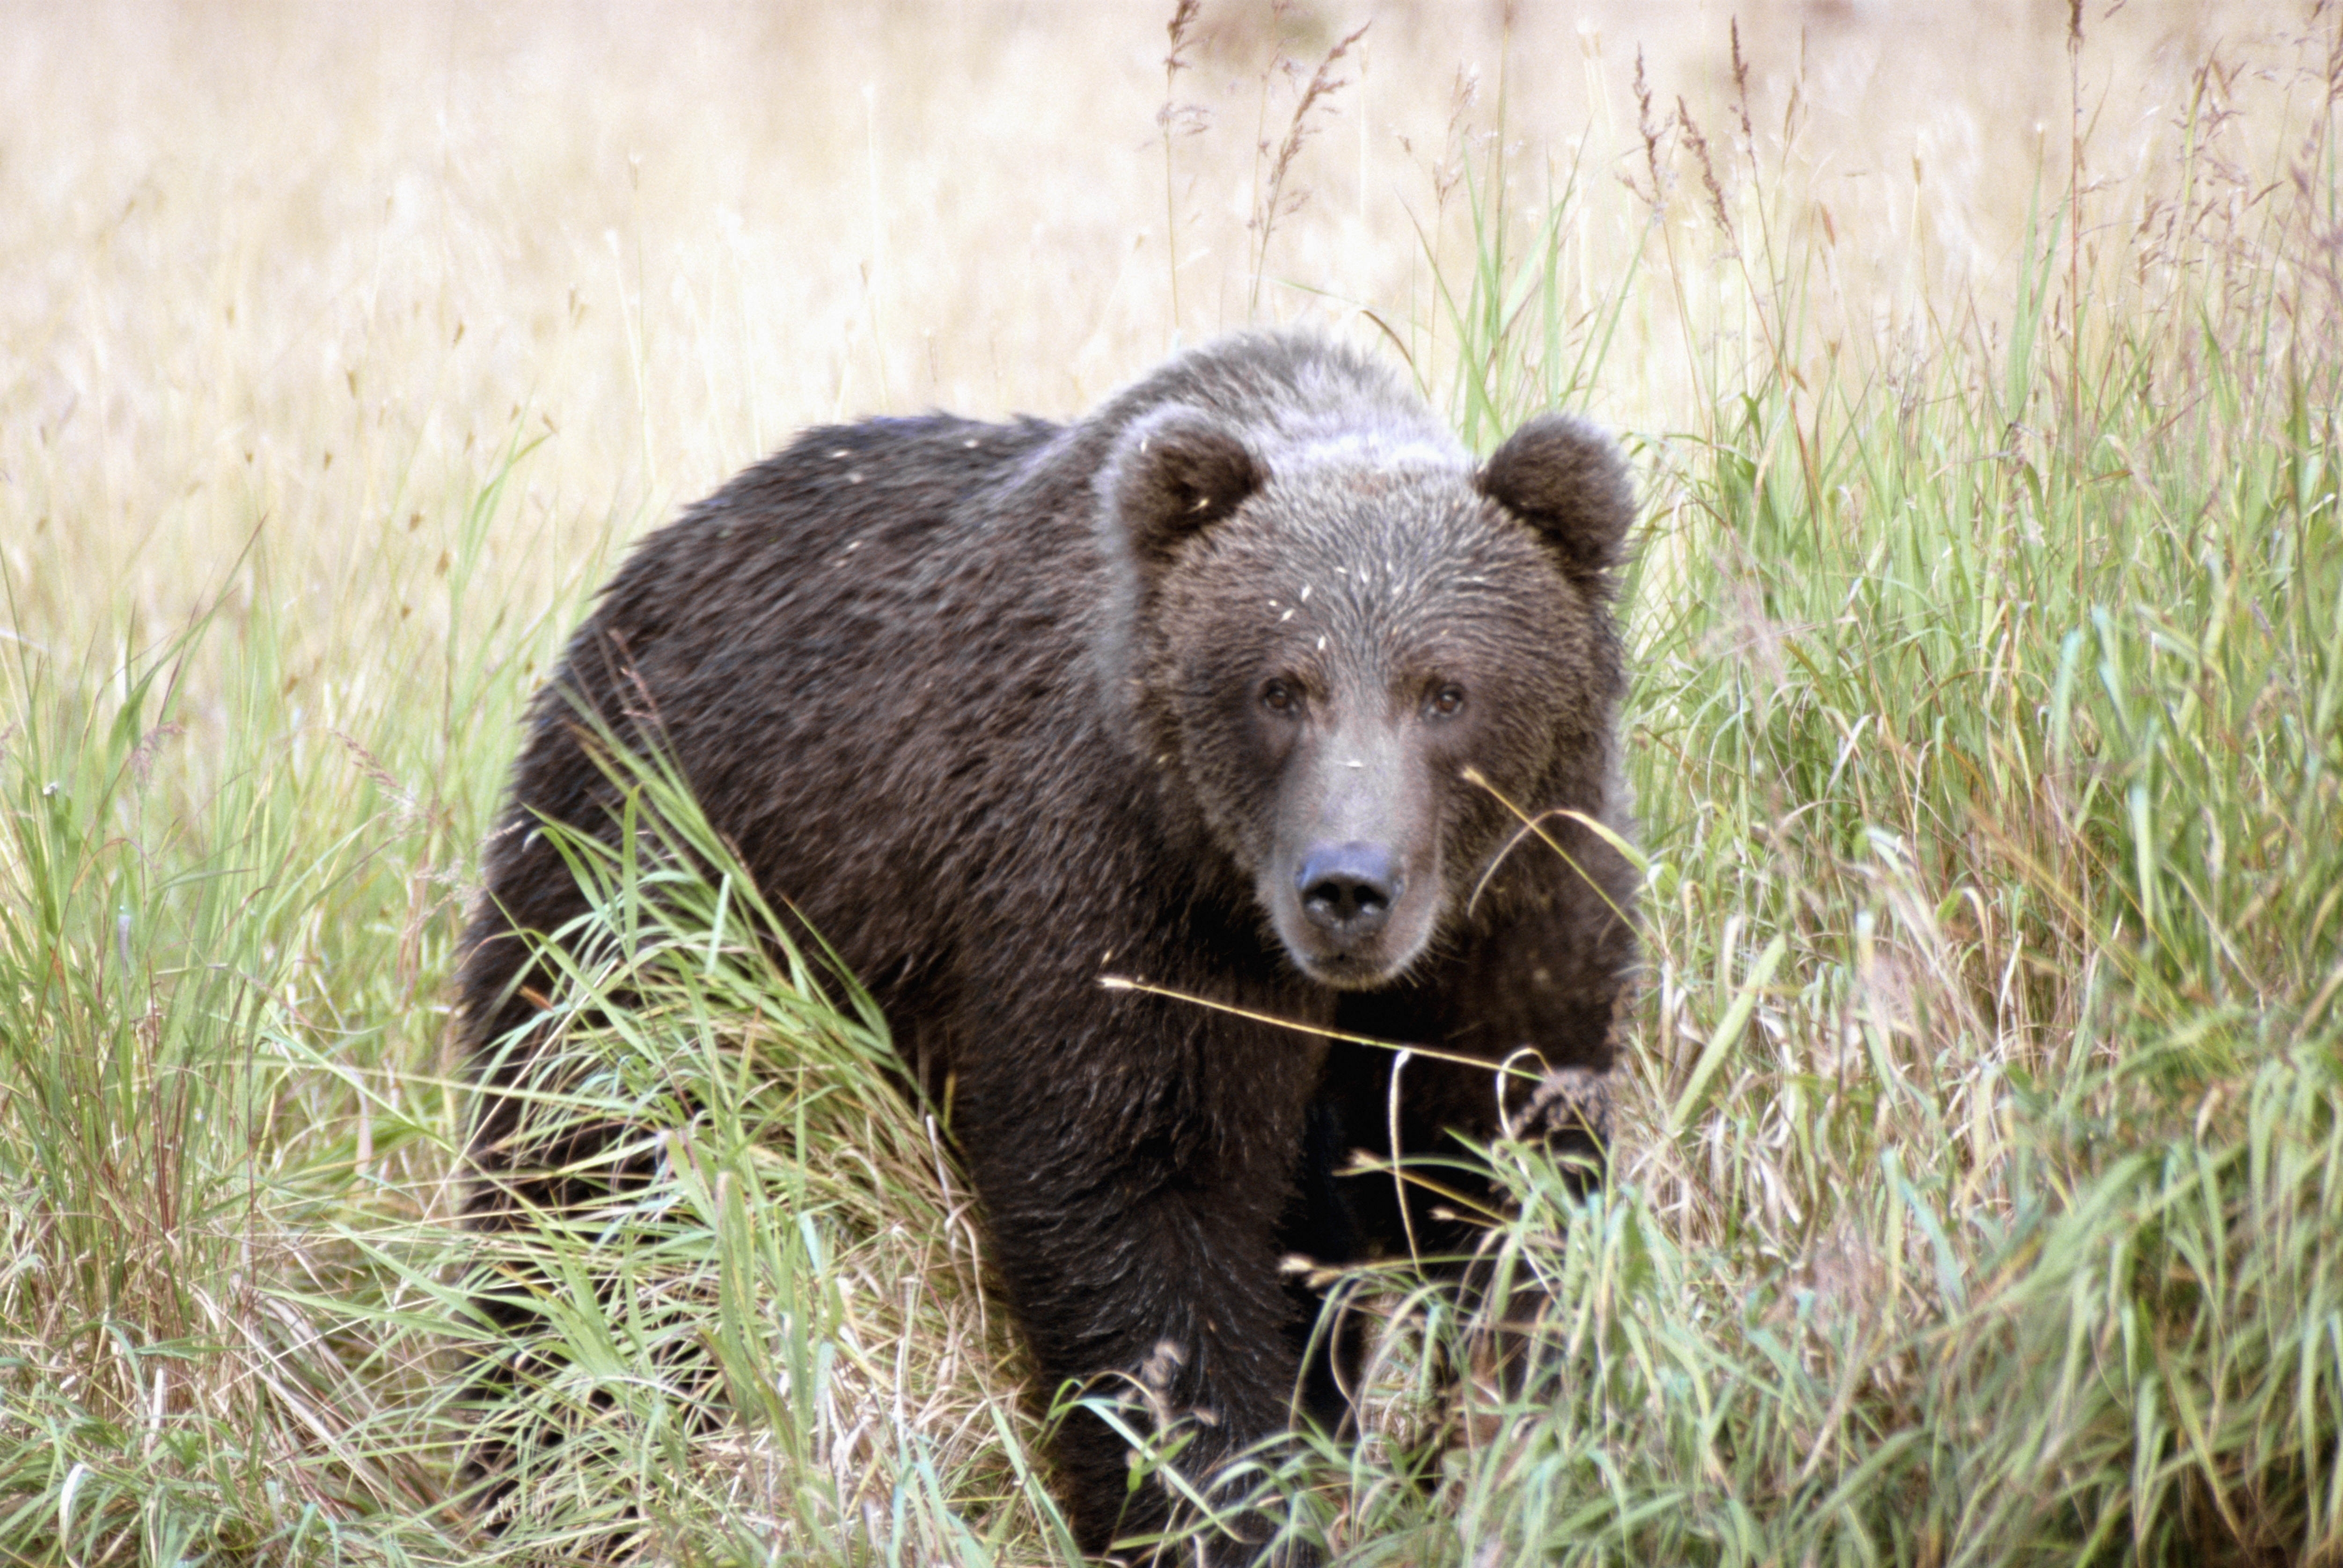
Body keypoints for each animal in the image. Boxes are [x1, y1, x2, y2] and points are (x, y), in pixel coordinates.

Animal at [457, 330, 1638, 1561]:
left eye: (1445, 689)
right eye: (1281, 686)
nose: (1348, 884)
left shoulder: (1515, 912)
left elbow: (1513, 1181)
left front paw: (1525, 1455)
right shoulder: (1121, 895)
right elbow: (1140, 1210)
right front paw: (1220, 1511)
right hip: (647, 895)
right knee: (596, 1191)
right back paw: (547, 1472)